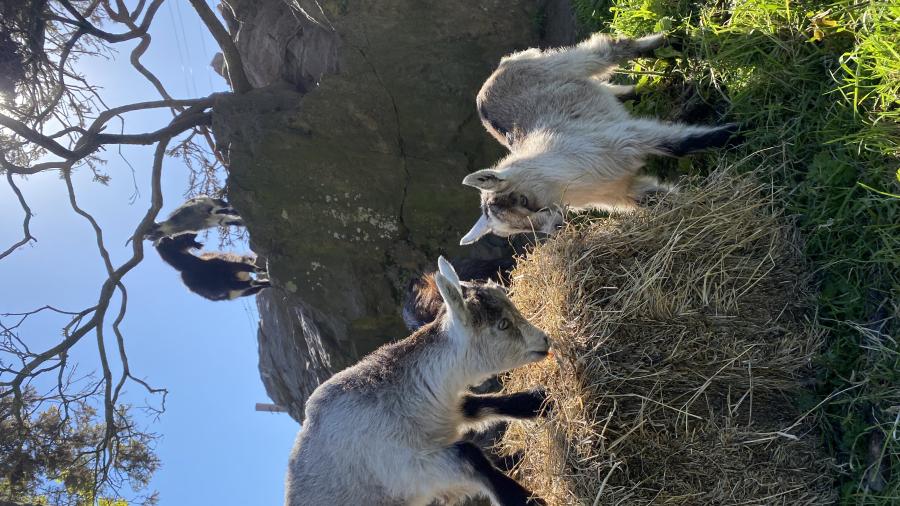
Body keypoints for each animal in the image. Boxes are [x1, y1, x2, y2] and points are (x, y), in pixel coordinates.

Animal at [285, 257, 551, 506]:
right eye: (502, 324)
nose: (545, 340)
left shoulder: (444, 410)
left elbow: (477, 405)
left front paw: (538, 401)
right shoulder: (410, 467)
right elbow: (469, 455)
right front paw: (528, 501)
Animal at [460, 32, 739, 244]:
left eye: (522, 199)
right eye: (516, 229)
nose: (556, 228)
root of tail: (494, 74)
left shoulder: (626, 138)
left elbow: (680, 144)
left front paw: (737, 133)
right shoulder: (622, 191)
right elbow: (660, 199)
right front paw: (696, 203)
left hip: (559, 64)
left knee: (608, 49)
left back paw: (674, 42)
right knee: (615, 89)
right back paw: (667, 83)